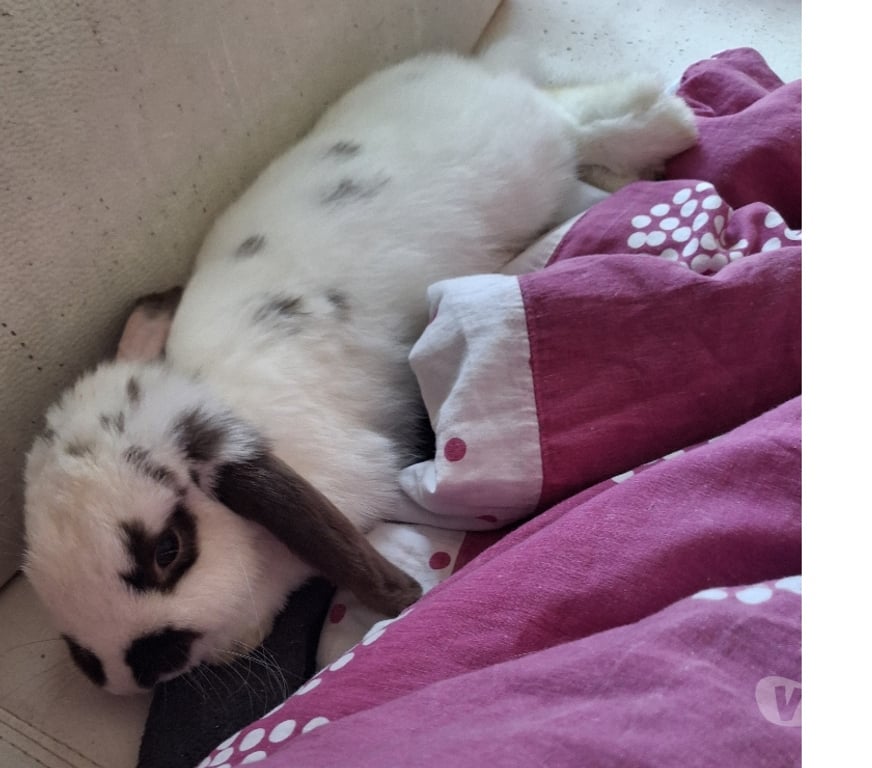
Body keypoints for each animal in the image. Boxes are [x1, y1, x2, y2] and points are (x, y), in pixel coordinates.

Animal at [22, 50, 697, 695]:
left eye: (169, 550)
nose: (124, 675)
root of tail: (466, 71)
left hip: (525, 158)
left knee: (570, 120)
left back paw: (667, 128)